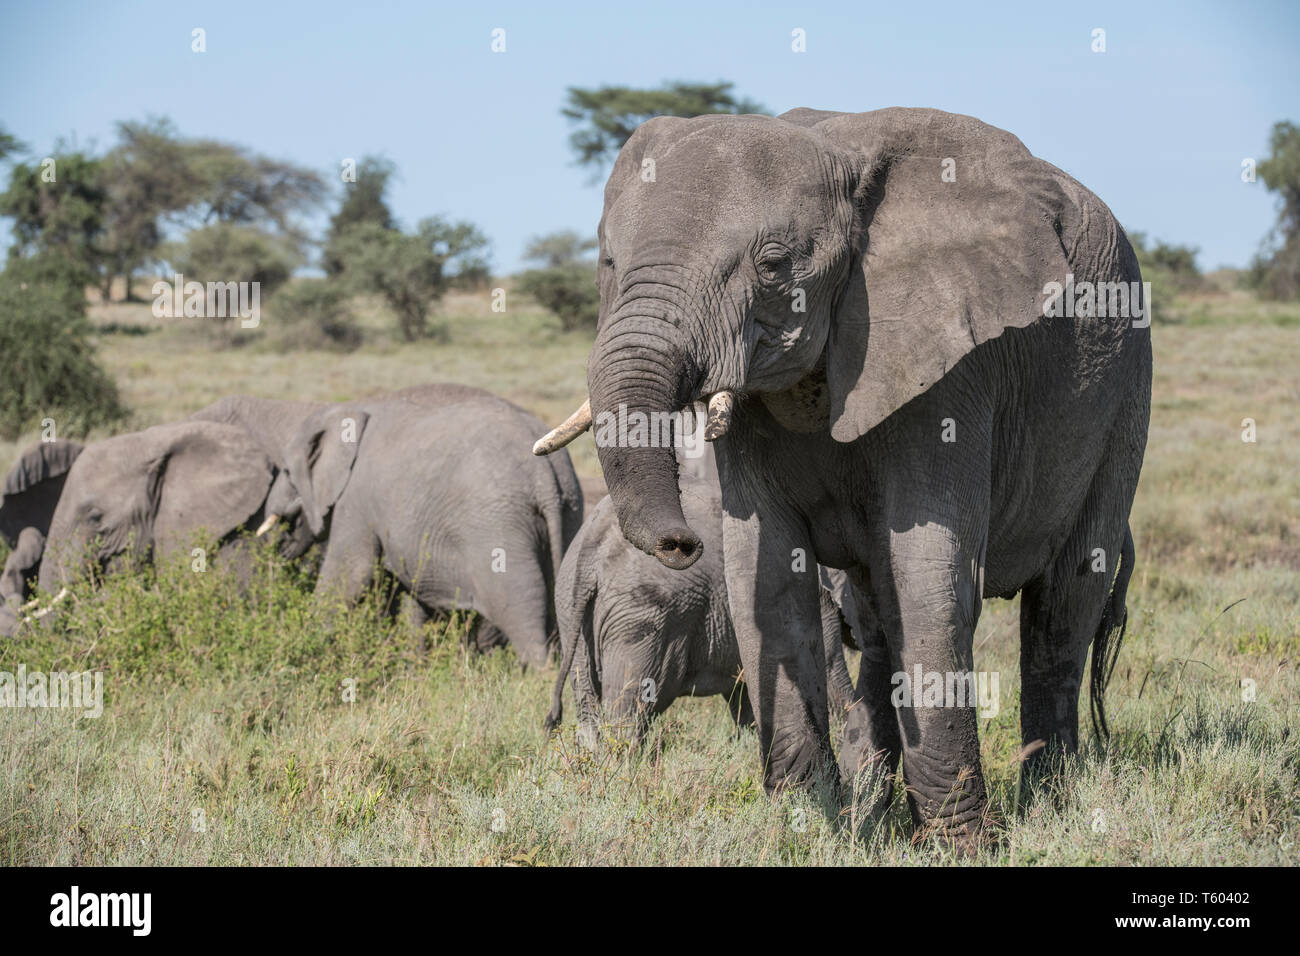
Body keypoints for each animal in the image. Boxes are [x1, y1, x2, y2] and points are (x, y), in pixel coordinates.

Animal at [261, 382, 587, 665]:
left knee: (519, 608)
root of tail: (545, 476)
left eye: (287, 472)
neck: (347, 411)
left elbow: (350, 575)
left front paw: (306, 643)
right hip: (569, 510)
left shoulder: (356, 499)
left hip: (499, 529)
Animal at [543, 468, 857, 749]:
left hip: (572, 608)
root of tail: (591, 545)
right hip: (641, 615)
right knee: (631, 702)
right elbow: (826, 669)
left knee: (586, 702)